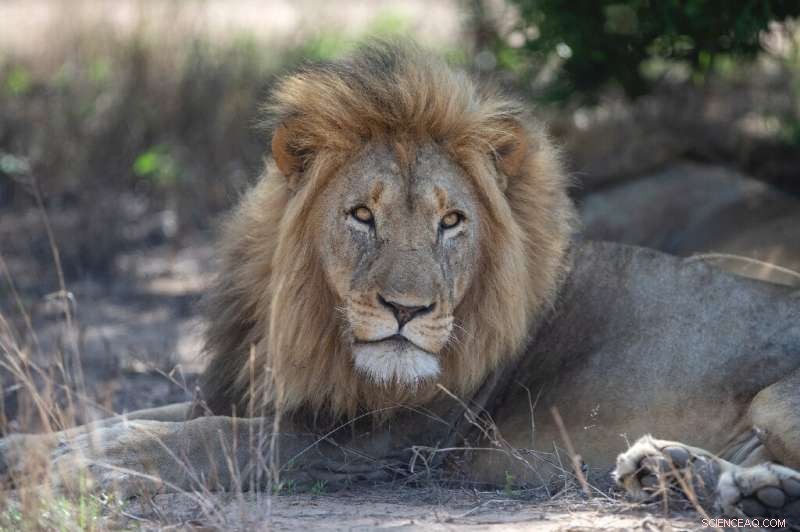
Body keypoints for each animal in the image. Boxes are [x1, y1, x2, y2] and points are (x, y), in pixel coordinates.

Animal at [1, 42, 799, 522]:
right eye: (362, 215)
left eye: (452, 221)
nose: (406, 311)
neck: (309, 324)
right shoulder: (254, 390)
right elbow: (136, 417)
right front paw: (32, 449)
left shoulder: (377, 445)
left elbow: (204, 440)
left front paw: (86, 472)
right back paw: (680, 472)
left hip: (777, 396)